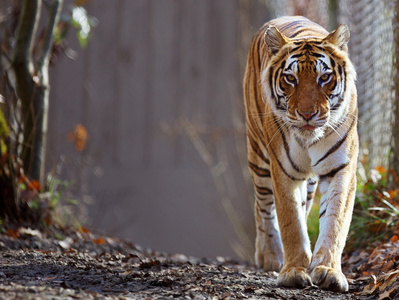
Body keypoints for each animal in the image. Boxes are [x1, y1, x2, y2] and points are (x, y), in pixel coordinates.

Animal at [244, 15, 360, 292]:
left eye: (324, 77)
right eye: (290, 79)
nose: (308, 114)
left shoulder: (340, 169)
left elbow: (334, 222)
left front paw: (328, 271)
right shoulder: (283, 170)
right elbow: (291, 223)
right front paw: (293, 272)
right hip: (259, 157)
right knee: (262, 205)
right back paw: (270, 255)